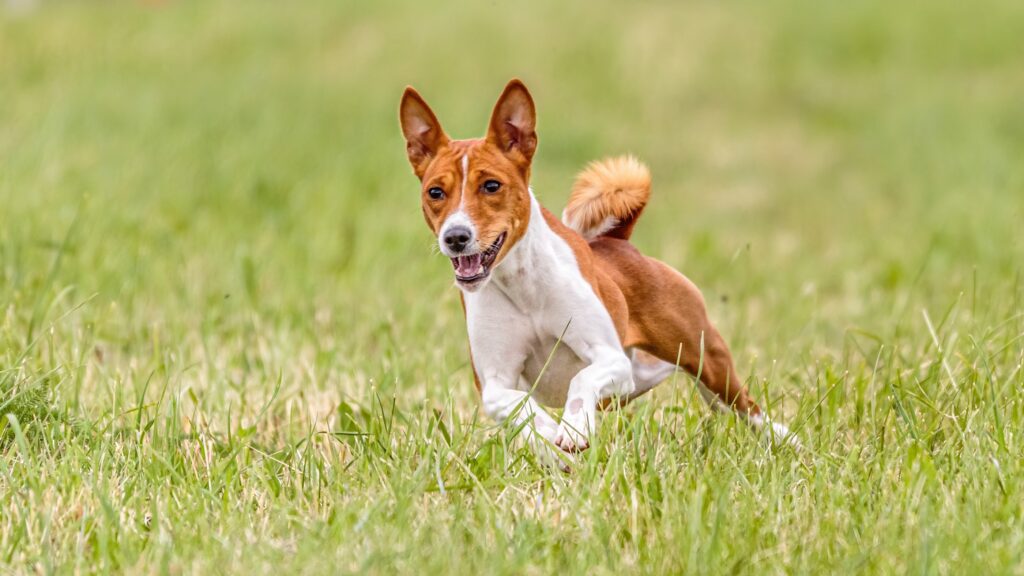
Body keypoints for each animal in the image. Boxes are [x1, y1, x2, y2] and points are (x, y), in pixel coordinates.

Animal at [395, 78, 794, 461]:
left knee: (747, 407)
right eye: (435, 192)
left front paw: (572, 429)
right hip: (642, 375)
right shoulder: (493, 381)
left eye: (491, 185)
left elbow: (581, 381)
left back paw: (788, 441)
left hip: (703, 361)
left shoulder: (609, 357)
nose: (456, 236)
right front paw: (548, 436)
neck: (523, 290)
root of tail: (618, 241)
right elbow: (518, 407)